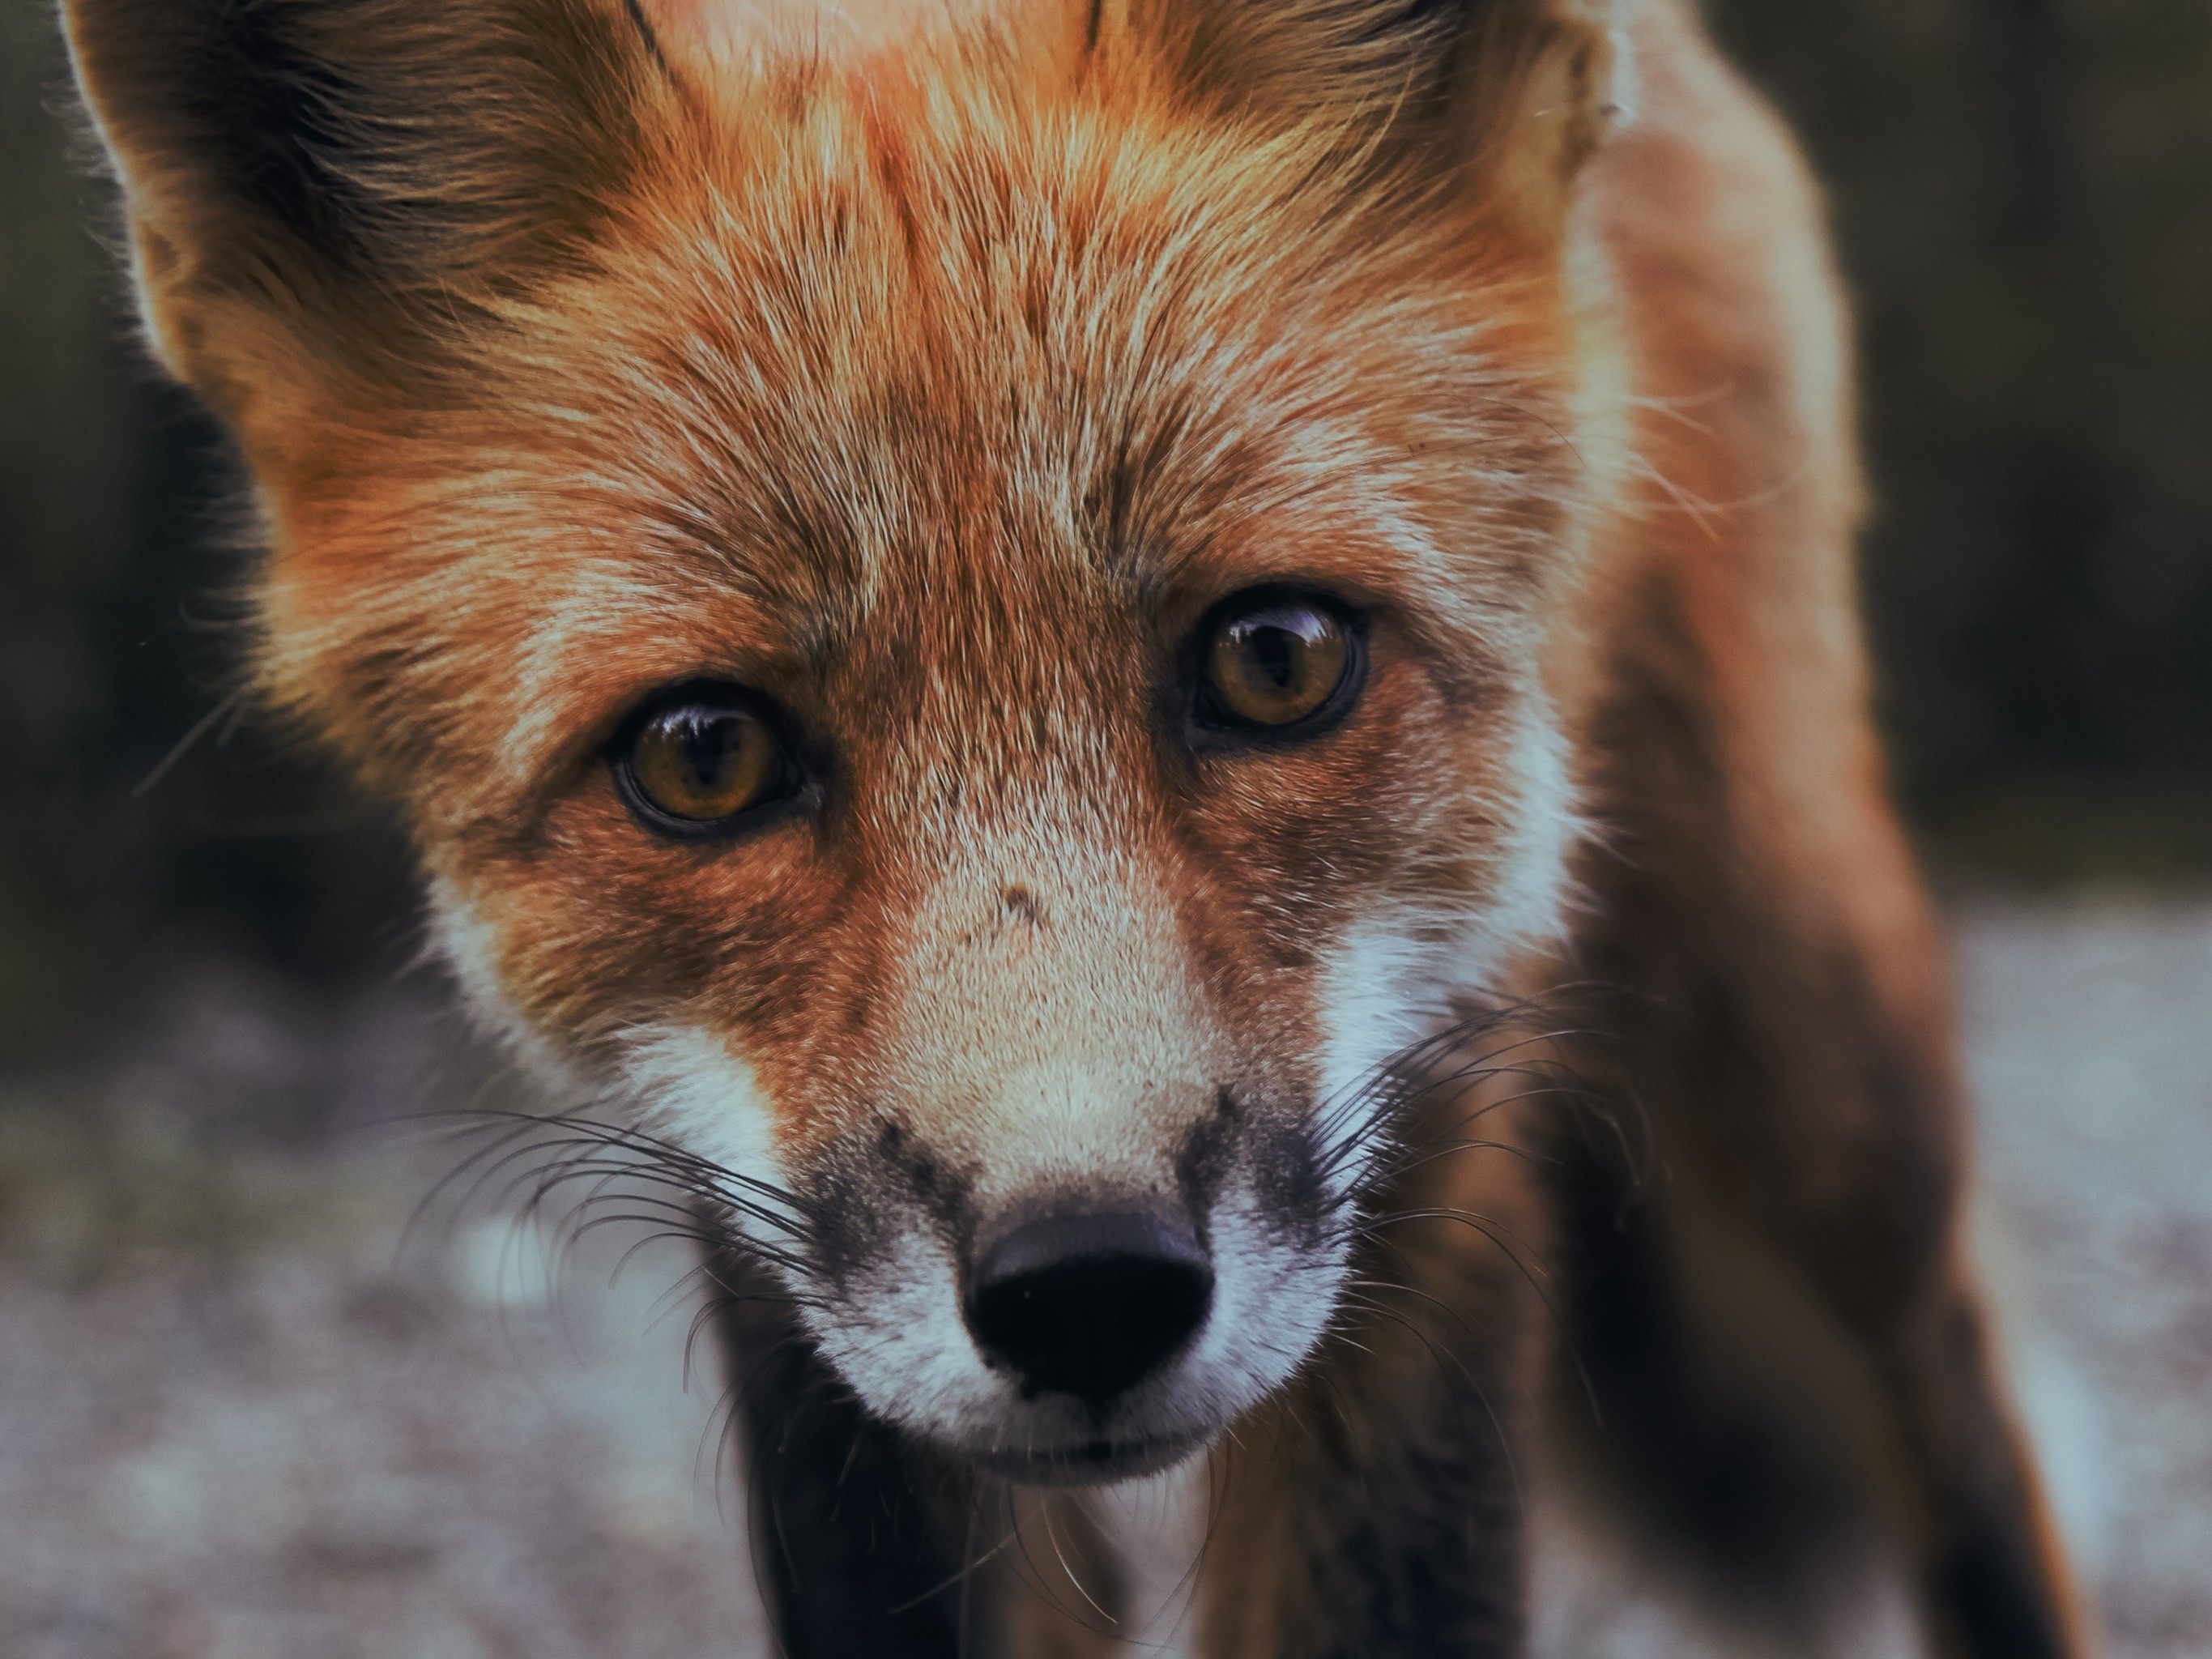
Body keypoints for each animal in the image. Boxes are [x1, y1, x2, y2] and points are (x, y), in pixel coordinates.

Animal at [52, 0, 2088, 1654]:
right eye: (703, 757)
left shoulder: (1433, 1158)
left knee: (1957, 1399)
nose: (1088, 1289)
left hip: (1816, 1057)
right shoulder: (792, 1298)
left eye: (1277, 658)